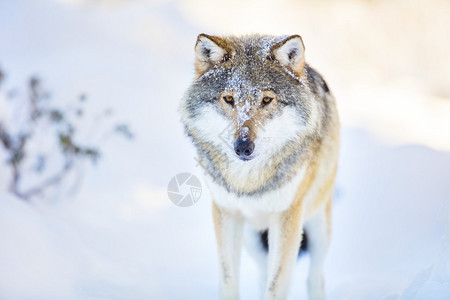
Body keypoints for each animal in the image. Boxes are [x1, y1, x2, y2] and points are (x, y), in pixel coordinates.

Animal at [179, 33, 338, 300]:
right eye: (229, 99)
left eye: (266, 100)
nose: (243, 147)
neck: (248, 181)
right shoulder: (226, 211)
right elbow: (229, 279)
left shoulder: (287, 216)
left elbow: (277, 285)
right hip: (253, 237)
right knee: (264, 274)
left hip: (318, 229)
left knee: (316, 277)